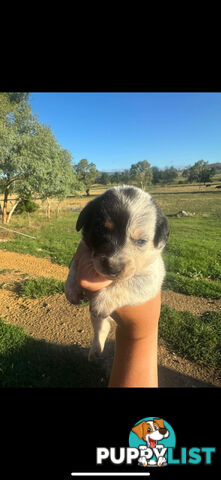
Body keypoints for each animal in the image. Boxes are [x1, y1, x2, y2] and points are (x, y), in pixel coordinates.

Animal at [64, 186, 168, 362]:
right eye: (99, 229)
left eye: (141, 241)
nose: (112, 268)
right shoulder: (81, 252)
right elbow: (73, 269)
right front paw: (71, 290)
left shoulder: (153, 275)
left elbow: (128, 283)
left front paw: (103, 301)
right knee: (102, 328)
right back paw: (95, 350)